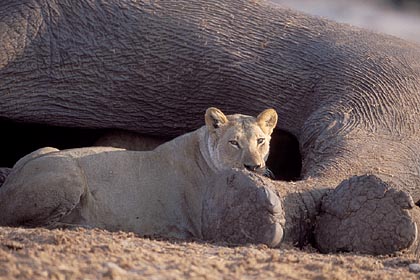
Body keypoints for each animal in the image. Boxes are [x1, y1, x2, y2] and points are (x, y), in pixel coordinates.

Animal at [0, 108, 278, 240]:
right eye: (234, 143)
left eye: (260, 141)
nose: (253, 167)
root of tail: (9, 183)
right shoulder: (203, 221)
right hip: (69, 173)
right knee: (33, 222)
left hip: (47, 149)